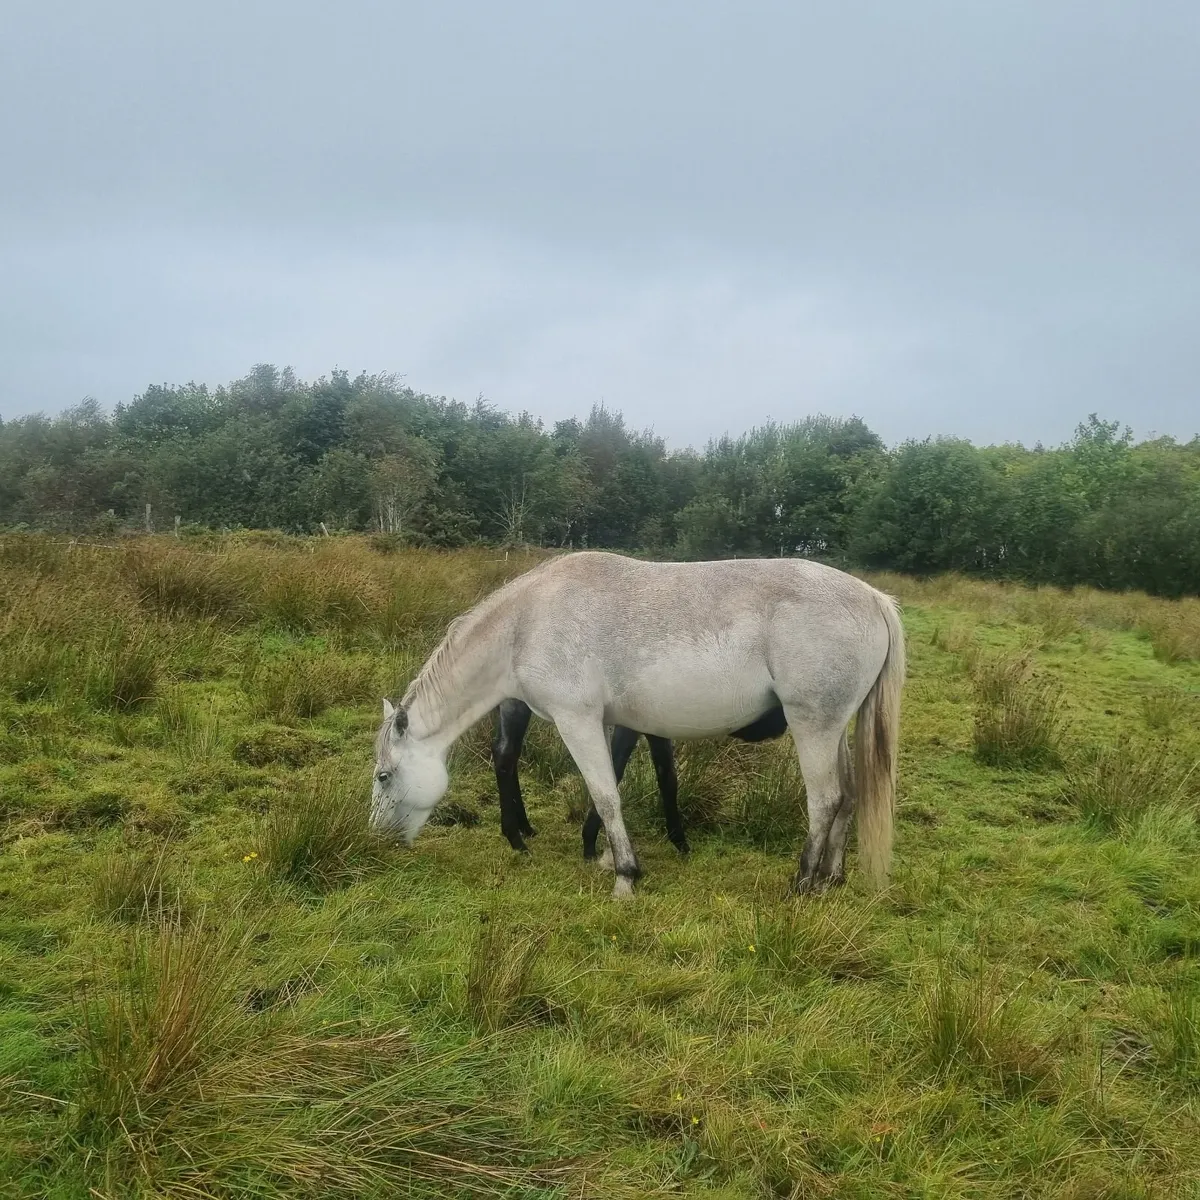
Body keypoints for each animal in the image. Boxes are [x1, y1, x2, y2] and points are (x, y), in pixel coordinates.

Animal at [491, 698, 791, 855]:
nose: (778, 726)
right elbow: (614, 770)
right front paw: (589, 842)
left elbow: (668, 778)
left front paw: (679, 841)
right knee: (505, 755)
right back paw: (515, 838)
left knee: (507, 752)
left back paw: (524, 827)